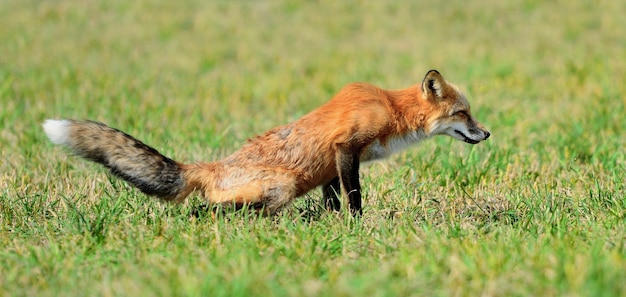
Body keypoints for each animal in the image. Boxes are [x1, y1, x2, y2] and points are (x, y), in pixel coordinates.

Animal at [46, 70, 490, 214]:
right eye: (463, 114)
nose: (486, 134)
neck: (391, 109)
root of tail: (209, 167)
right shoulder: (346, 148)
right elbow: (354, 198)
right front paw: (357, 225)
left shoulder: (332, 163)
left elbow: (333, 199)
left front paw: (332, 224)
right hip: (283, 185)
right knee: (211, 210)